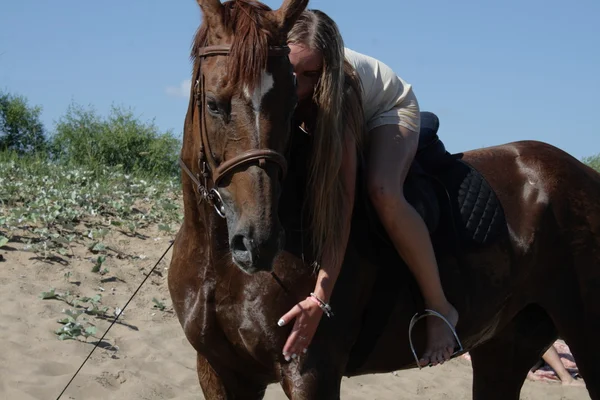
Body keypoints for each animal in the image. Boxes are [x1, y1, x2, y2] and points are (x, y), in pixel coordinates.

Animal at [168, 1, 600, 398]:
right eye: (214, 104)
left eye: (291, 105)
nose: (260, 242)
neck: (217, 259)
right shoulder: (220, 371)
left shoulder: (311, 372)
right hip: (506, 347)